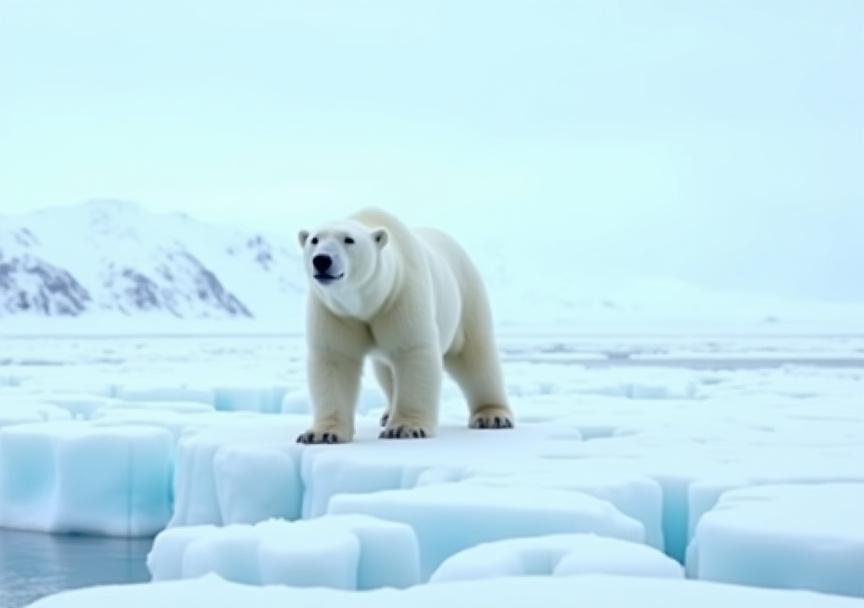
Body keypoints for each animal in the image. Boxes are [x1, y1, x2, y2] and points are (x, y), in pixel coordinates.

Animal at [296, 207, 513, 444]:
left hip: (466, 295)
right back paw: (387, 413)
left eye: (349, 239)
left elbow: (413, 351)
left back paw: (493, 416)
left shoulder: (400, 295)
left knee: (475, 356)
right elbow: (334, 358)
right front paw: (321, 433)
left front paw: (405, 428)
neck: (368, 303)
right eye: (314, 239)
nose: (321, 260)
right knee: (385, 370)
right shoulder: (334, 311)